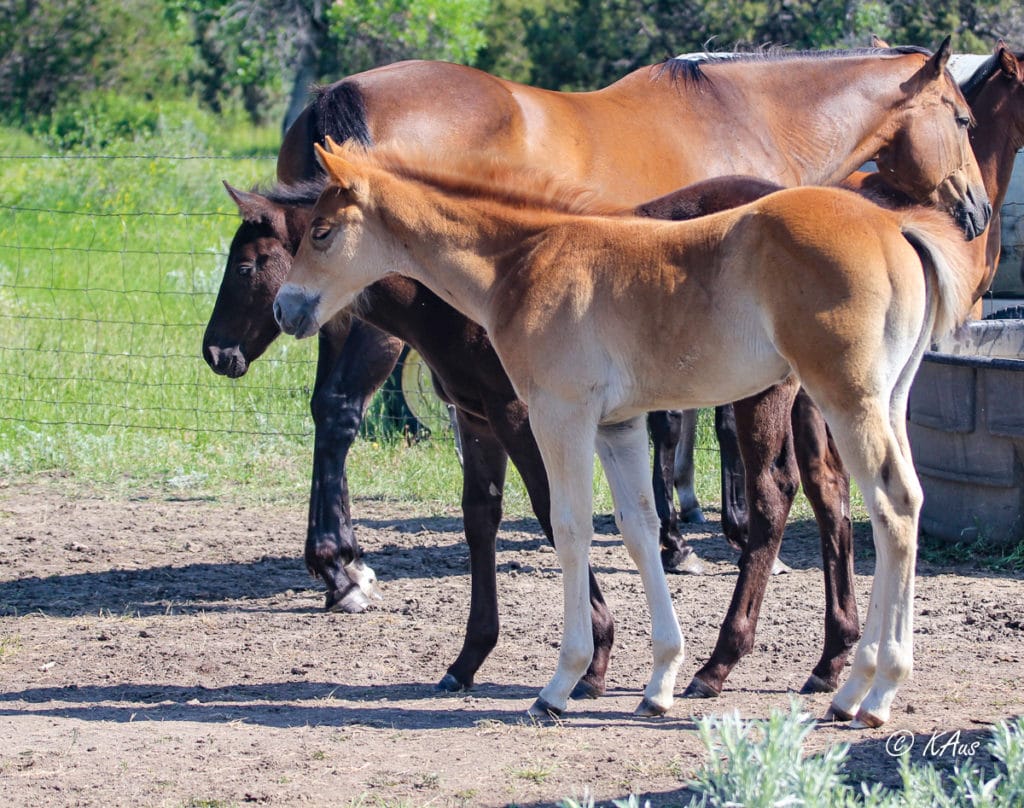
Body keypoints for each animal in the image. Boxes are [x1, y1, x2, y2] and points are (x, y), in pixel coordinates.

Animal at [201, 39, 991, 692]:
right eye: (962, 117)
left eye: (251, 261)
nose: (978, 212)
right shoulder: (490, 413)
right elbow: (504, 517)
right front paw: (481, 655)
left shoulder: (535, 411)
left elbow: (566, 512)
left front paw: (599, 651)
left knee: (815, 494)